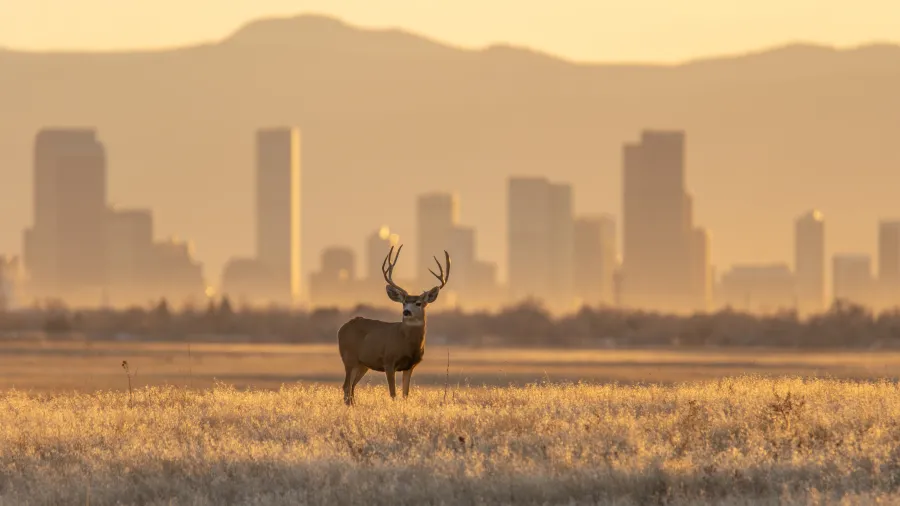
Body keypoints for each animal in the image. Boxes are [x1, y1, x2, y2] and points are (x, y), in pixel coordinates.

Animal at [337, 244, 450, 406]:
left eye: (418, 303)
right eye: (404, 302)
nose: (406, 312)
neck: (406, 342)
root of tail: (342, 328)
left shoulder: (410, 366)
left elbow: (405, 394)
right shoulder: (389, 361)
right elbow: (393, 393)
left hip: (362, 364)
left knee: (352, 386)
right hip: (349, 357)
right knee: (346, 386)